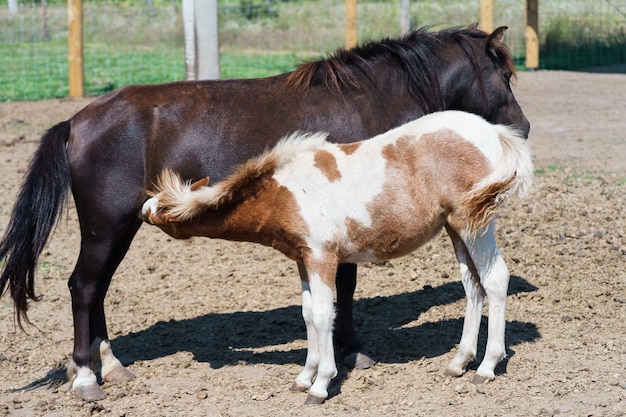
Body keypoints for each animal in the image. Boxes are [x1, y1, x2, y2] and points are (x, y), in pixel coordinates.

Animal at [143, 110, 532, 404]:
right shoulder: (303, 258)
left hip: (473, 223)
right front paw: (304, 376)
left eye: (162, 210)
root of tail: (494, 131)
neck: (284, 191)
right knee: (472, 285)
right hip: (456, 227)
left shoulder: (321, 256)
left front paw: (319, 385)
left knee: (494, 279)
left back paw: (486, 367)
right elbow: (307, 314)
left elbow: (322, 314)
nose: (143, 210)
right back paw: (459, 362)